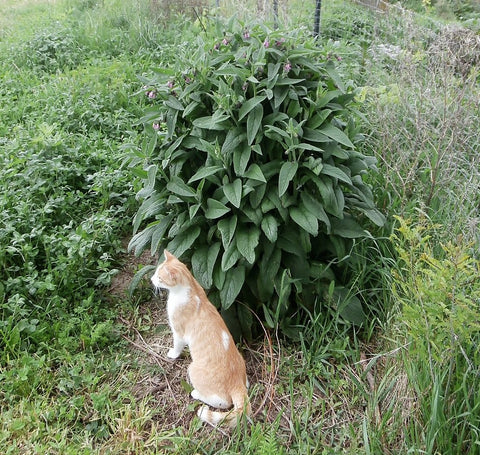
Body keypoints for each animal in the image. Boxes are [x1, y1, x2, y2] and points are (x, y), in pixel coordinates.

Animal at [152, 251, 251, 430]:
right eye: (156, 273)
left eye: (160, 278)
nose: (151, 279)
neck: (191, 289)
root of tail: (236, 382)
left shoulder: (178, 332)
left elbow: (176, 346)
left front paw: (172, 354)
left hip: (193, 370)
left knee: (222, 402)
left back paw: (196, 393)